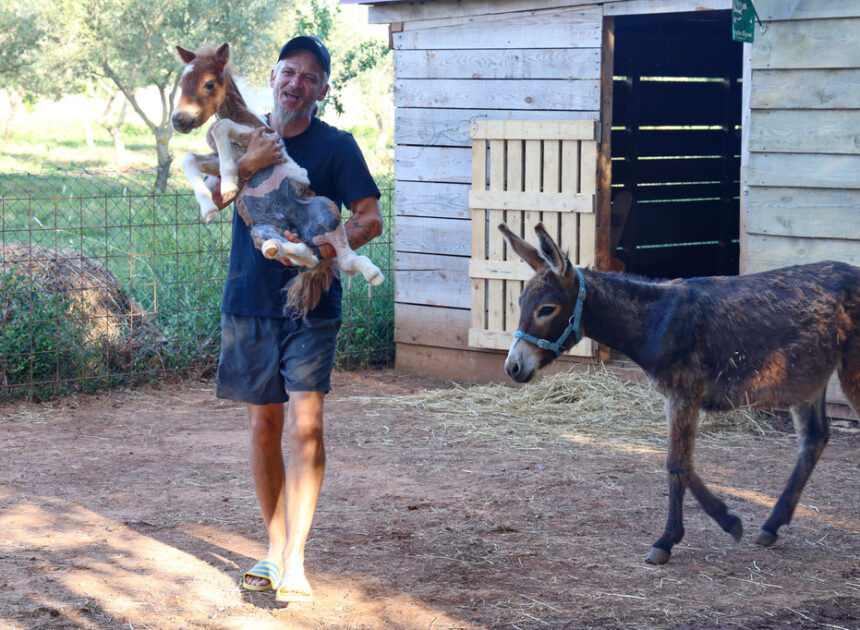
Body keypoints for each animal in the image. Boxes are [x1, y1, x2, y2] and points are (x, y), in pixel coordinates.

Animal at [170, 42, 384, 316]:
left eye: (208, 83)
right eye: (182, 81)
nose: (179, 120)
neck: (239, 114)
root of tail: (299, 230)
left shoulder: (266, 137)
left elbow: (220, 127)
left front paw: (228, 186)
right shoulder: (220, 157)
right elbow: (188, 158)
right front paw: (209, 209)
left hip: (324, 207)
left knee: (343, 259)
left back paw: (373, 273)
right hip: (261, 229)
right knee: (307, 254)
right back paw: (278, 248)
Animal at [500, 222, 860, 565]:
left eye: (547, 309)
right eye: (519, 303)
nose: (513, 367)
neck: (654, 322)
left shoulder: (684, 392)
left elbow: (675, 463)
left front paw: (667, 540)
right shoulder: (677, 397)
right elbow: (684, 463)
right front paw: (727, 520)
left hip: (849, 371)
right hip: (808, 377)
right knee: (813, 439)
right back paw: (772, 525)